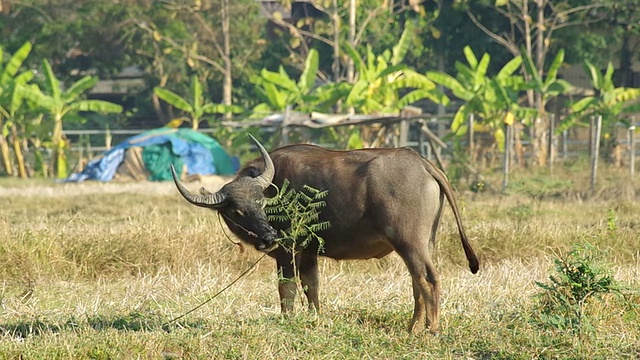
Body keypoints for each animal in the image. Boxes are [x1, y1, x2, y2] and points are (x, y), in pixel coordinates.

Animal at [171, 135, 480, 334]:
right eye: (236, 210)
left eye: (260, 201)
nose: (269, 237)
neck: (278, 187)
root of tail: (422, 163)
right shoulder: (309, 253)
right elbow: (312, 286)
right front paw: (315, 319)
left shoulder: (287, 252)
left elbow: (287, 289)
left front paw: (288, 321)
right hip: (426, 242)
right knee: (418, 282)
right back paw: (413, 327)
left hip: (409, 241)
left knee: (428, 280)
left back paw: (430, 329)